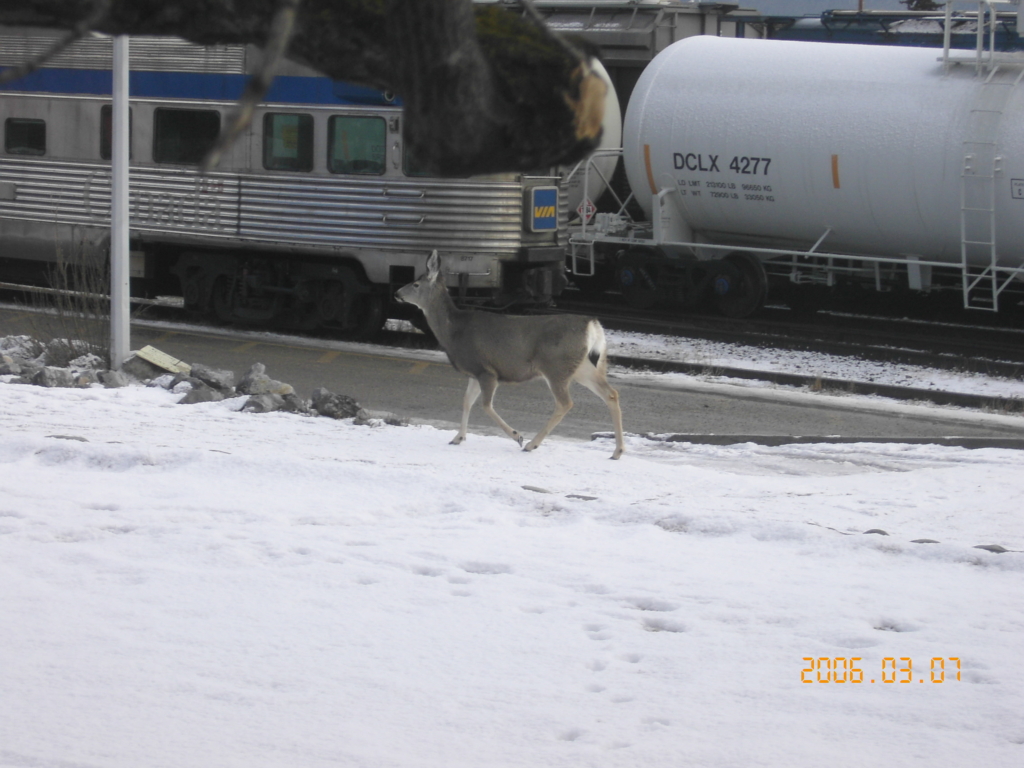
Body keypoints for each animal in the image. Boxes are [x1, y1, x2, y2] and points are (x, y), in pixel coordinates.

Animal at [395, 250, 622, 462]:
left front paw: (517, 435)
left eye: (415, 284)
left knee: (565, 403)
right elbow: (467, 401)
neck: (453, 331)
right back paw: (617, 451)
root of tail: (592, 324)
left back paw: (531, 444)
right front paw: (458, 438)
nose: (397, 293)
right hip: (585, 366)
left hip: (556, 365)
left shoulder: (487, 370)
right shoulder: (474, 372)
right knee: (611, 394)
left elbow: (486, 405)